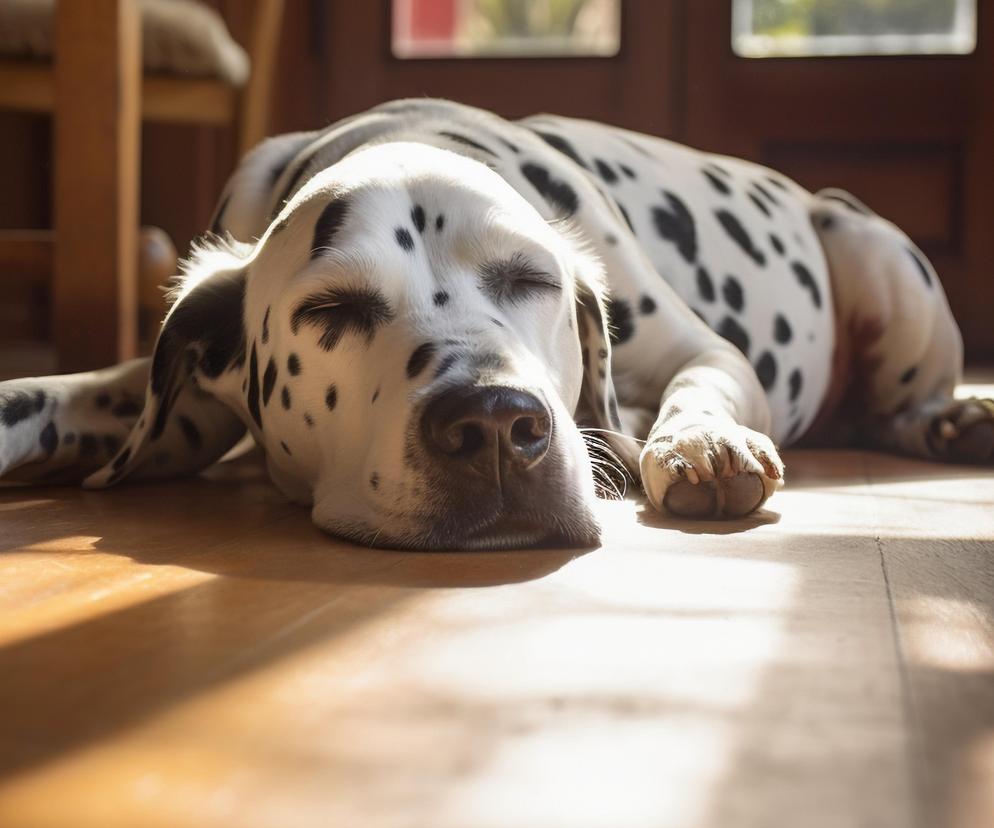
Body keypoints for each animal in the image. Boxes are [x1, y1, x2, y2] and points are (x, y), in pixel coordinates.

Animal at [1, 98, 992, 548]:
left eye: (532, 279)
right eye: (331, 309)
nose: (491, 426)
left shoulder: (704, 348)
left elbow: (700, 386)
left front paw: (700, 445)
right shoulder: (179, 418)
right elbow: (46, 399)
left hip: (871, 251)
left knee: (892, 406)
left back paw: (955, 418)